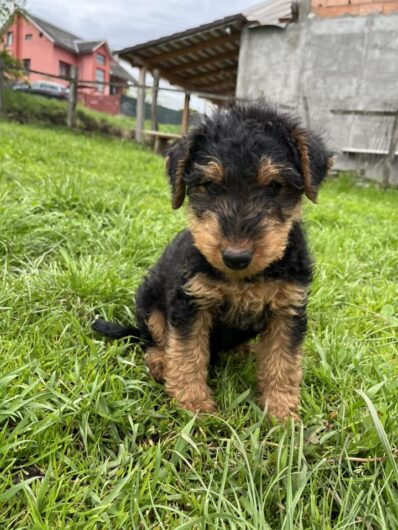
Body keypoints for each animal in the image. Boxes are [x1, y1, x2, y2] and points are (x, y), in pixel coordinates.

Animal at [91, 102, 332, 416]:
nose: (236, 257)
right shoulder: (191, 302)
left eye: (274, 185)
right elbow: (187, 353)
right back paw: (160, 362)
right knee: (153, 340)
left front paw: (282, 412)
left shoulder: (288, 309)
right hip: (149, 304)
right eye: (209, 184)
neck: (243, 279)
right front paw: (193, 403)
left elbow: (283, 363)